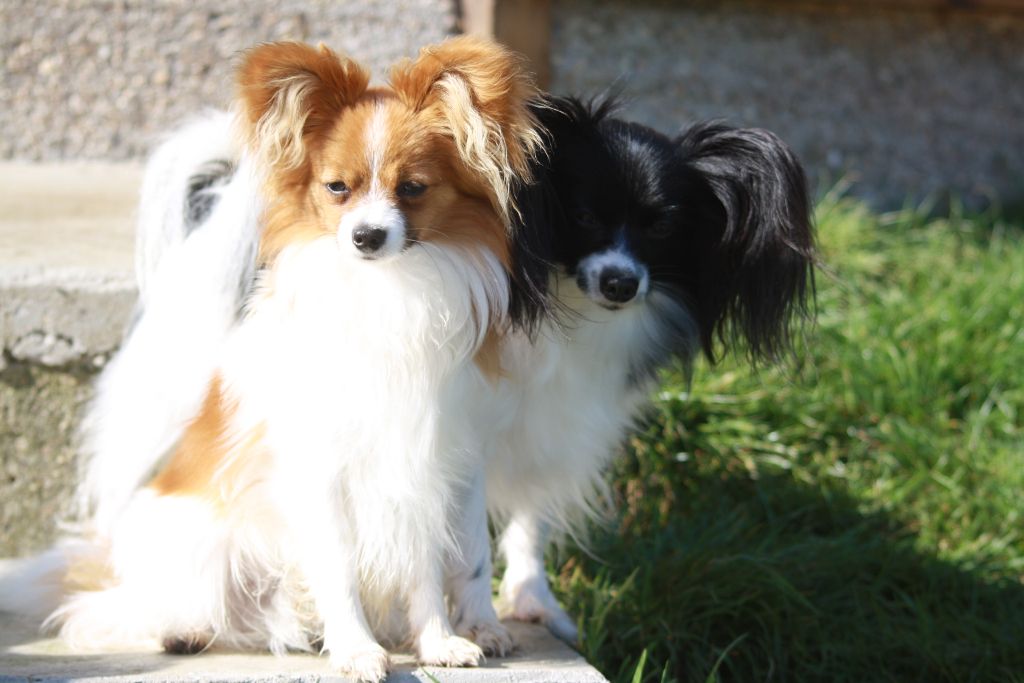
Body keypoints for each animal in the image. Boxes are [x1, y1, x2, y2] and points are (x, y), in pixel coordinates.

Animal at [0, 38, 544, 683]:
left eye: (412, 188)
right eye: (337, 188)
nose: (365, 236)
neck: (387, 291)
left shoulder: (428, 464)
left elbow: (425, 569)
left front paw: (437, 642)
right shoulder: (322, 470)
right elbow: (338, 566)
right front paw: (357, 651)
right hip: (200, 542)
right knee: (114, 611)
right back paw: (180, 629)